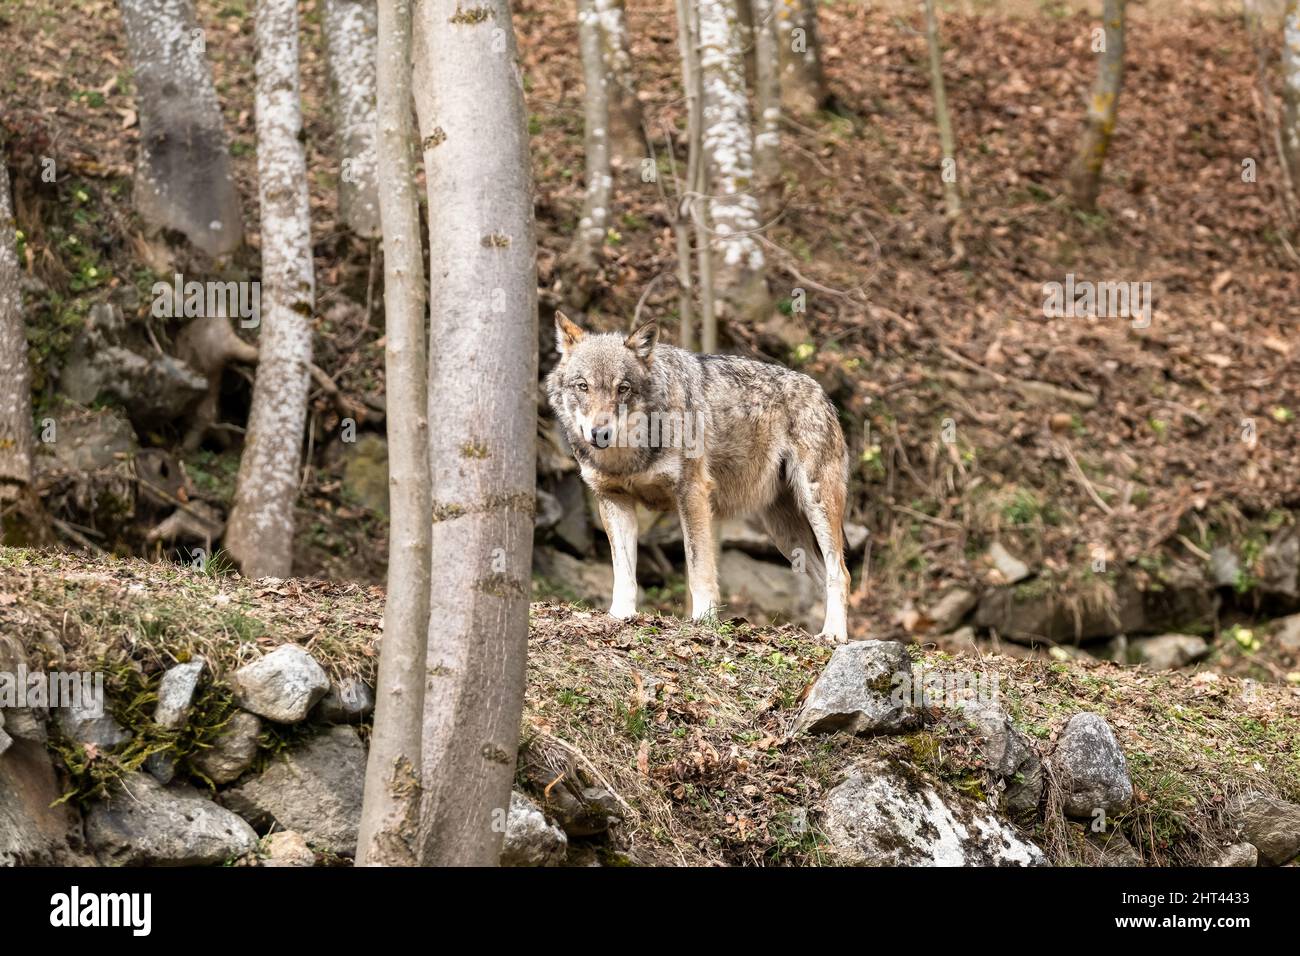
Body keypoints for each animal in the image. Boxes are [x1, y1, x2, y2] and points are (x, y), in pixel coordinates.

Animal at [546, 314, 852, 642]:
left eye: (623, 388)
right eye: (583, 386)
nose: (600, 433)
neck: (629, 454)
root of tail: (821, 392)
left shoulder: (692, 492)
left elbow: (698, 565)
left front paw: (703, 621)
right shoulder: (614, 499)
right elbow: (624, 571)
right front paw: (620, 616)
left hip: (815, 506)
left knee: (840, 573)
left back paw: (834, 635)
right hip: (785, 534)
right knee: (825, 576)